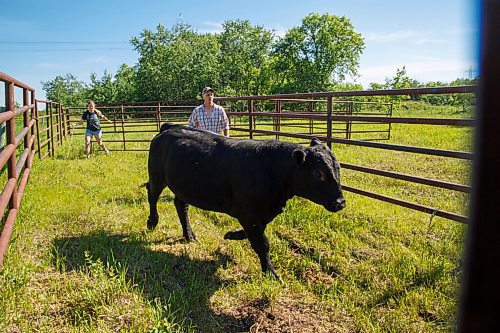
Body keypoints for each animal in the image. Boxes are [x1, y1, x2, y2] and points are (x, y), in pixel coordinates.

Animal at [146, 122, 346, 278]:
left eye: (338, 167)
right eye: (318, 173)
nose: (340, 202)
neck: (271, 169)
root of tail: (169, 127)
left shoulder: (262, 212)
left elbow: (255, 235)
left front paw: (232, 234)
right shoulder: (248, 212)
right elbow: (262, 243)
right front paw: (270, 273)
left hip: (182, 186)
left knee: (181, 205)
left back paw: (189, 235)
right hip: (157, 177)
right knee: (152, 195)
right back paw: (152, 222)